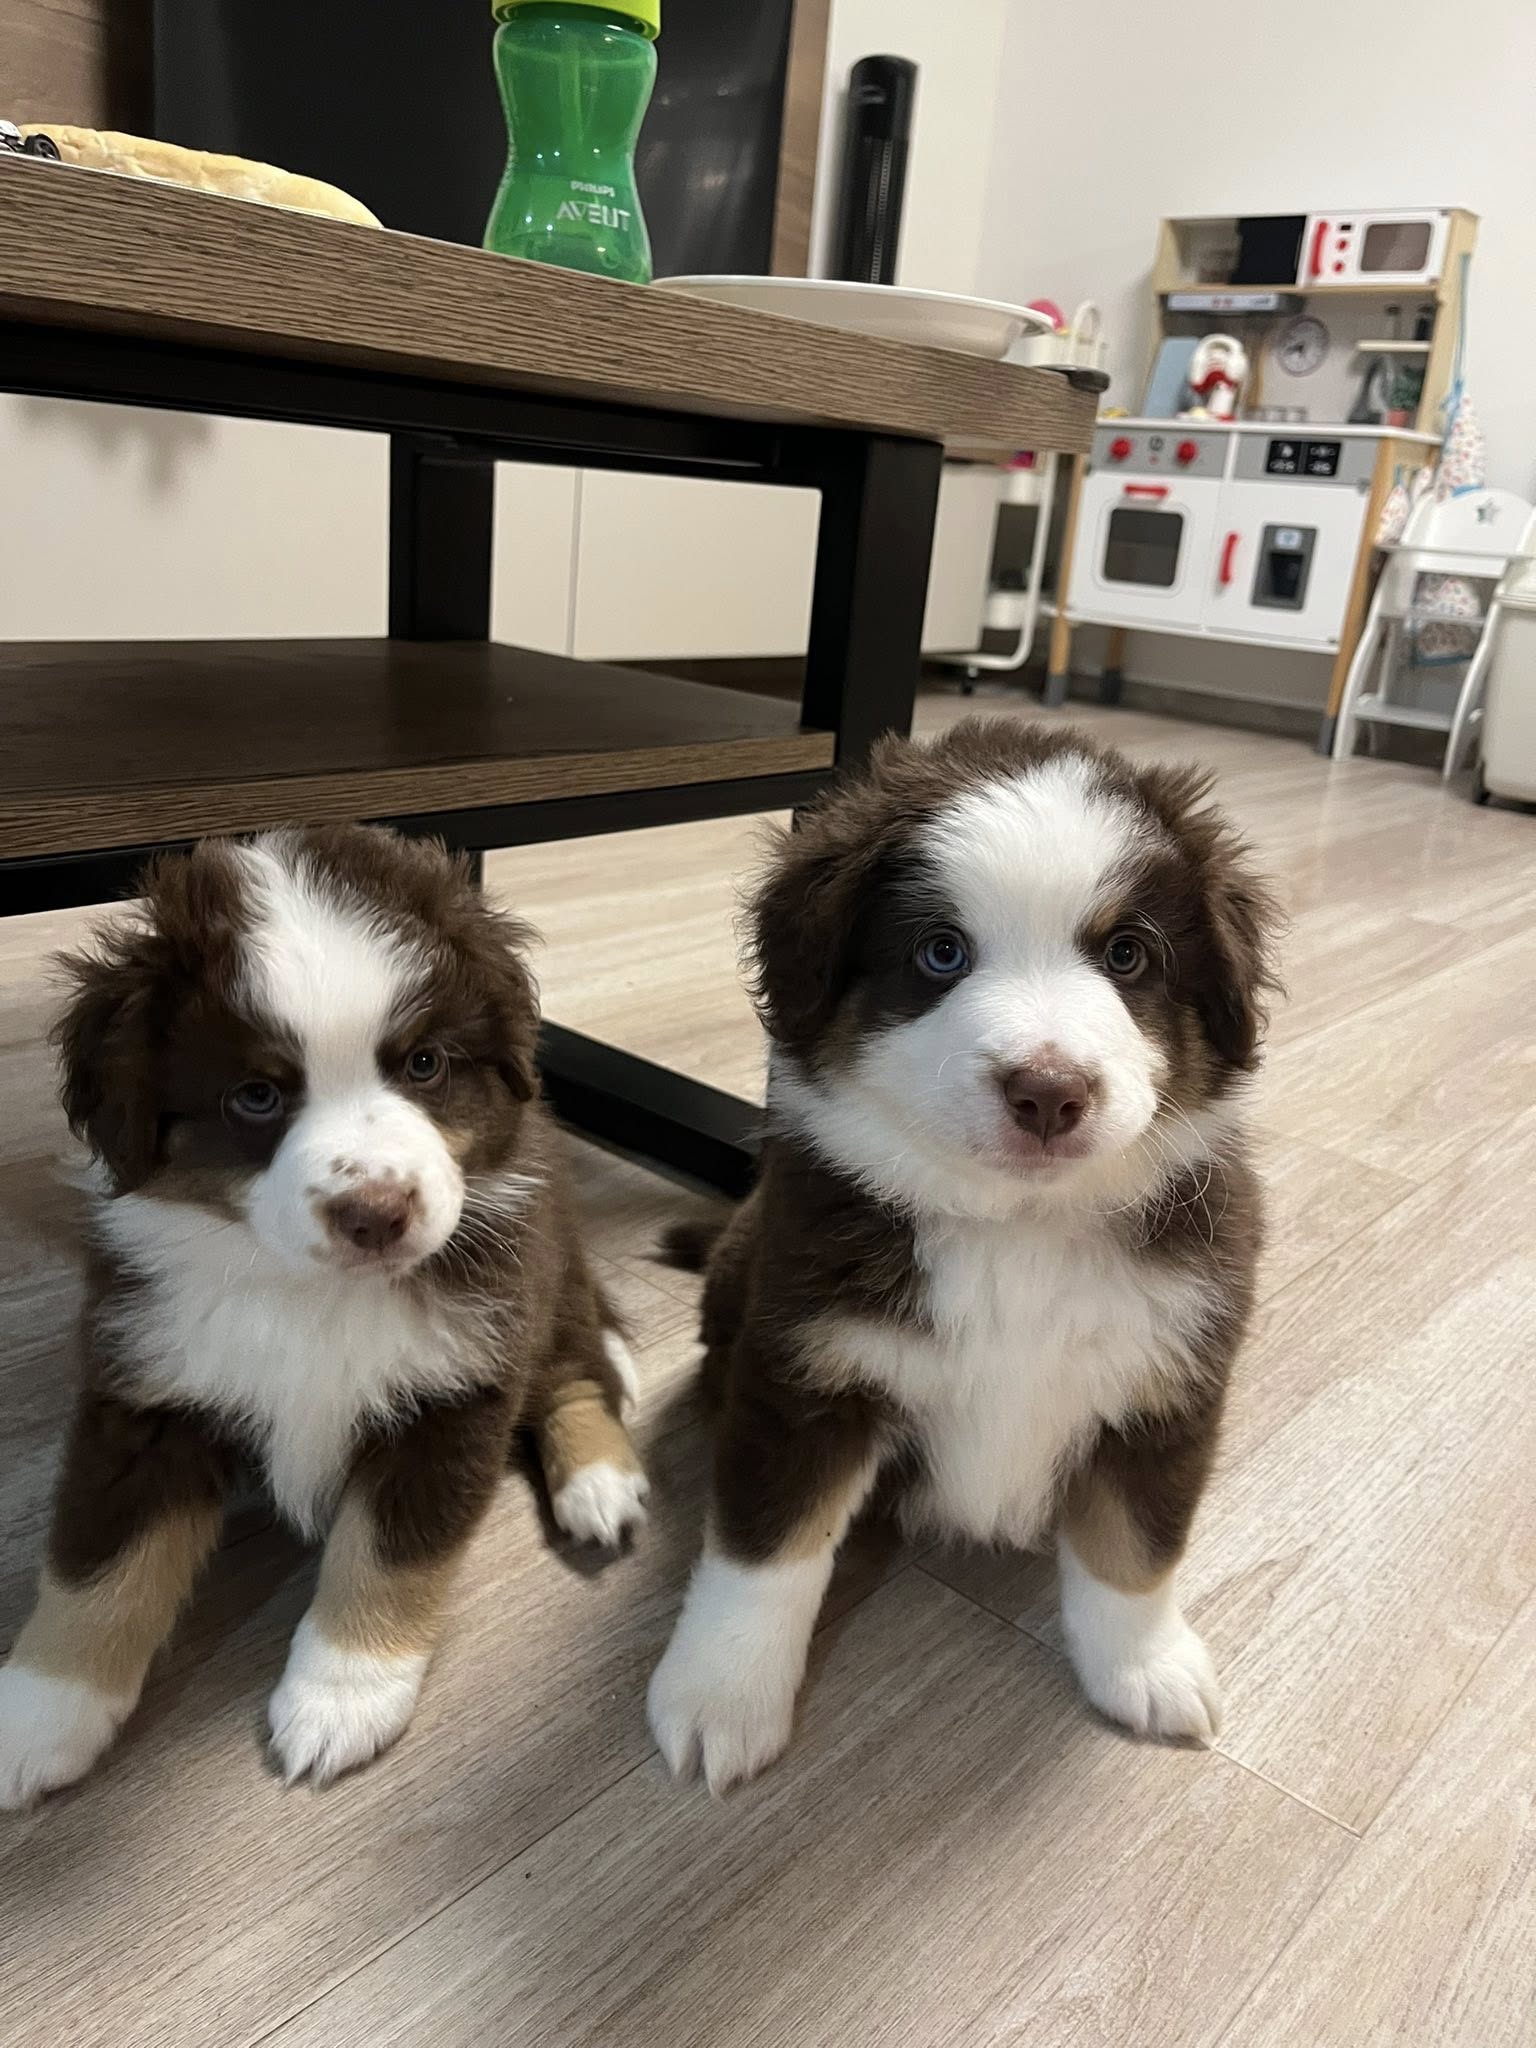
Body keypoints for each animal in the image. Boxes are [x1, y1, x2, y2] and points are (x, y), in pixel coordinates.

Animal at [0, 825, 646, 1807]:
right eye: (256, 1096)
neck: (311, 1292)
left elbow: (387, 1556)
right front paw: (41, 1711)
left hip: (548, 1271)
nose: (377, 1214)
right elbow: (98, 1563)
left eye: (423, 1063)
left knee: (576, 1366)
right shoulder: (147, 1386)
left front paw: (342, 1696)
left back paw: (599, 1482)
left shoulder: (458, 1386)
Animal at [648, 720, 1279, 1792]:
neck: (1015, 1232)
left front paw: (1146, 1670)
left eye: (1128, 955)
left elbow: (1136, 1546)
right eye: (941, 952)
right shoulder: (804, 1374)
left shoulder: (1170, 1383)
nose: (1050, 1091)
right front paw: (719, 1700)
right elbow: (766, 1550)